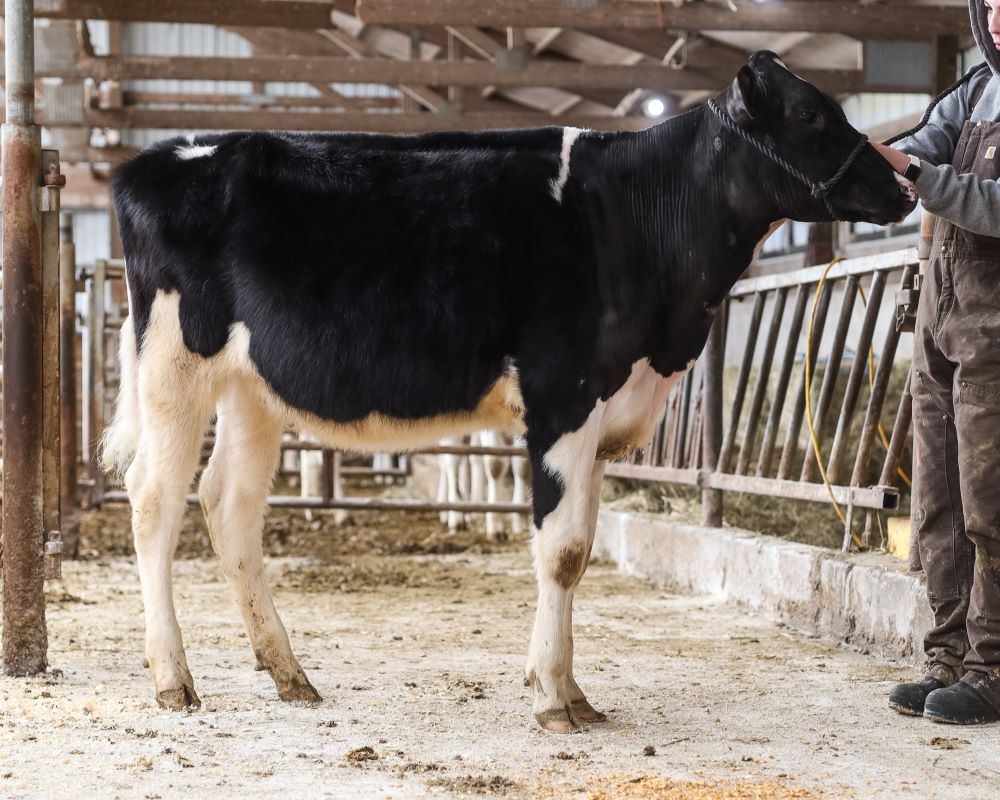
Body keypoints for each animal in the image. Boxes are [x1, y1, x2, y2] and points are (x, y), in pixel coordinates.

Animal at [102, 51, 916, 732]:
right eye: (809, 113)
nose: (905, 180)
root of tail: (159, 157)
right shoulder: (563, 396)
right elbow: (561, 550)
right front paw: (554, 699)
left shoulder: (600, 414)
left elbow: (580, 546)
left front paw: (570, 691)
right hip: (175, 364)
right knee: (154, 500)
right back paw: (173, 679)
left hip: (250, 388)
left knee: (228, 503)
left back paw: (289, 673)